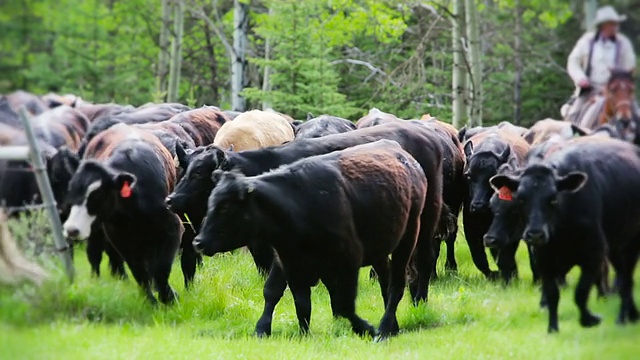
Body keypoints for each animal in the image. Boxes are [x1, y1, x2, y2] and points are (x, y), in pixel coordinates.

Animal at [62, 124, 181, 304]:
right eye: (71, 191)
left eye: (97, 194)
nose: (71, 229)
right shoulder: (121, 238)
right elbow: (139, 270)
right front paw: (151, 300)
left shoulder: (172, 228)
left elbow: (161, 268)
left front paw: (168, 297)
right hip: (97, 231)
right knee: (95, 253)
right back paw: (99, 279)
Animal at [168, 120, 442, 304]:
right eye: (183, 169)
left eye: (200, 173)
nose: (171, 199)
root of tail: (430, 137)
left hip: (427, 217)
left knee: (425, 257)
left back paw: (419, 299)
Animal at [192, 140, 428, 338]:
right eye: (211, 203)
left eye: (225, 207)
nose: (198, 242)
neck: (299, 204)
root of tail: (405, 157)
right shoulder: (290, 264)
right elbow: (297, 302)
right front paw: (297, 333)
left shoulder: (348, 261)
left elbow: (343, 305)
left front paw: (366, 328)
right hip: (380, 249)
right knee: (385, 281)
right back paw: (392, 327)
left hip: (408, 237)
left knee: (397, 284)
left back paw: (385, 327)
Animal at [490, 136, 640, 334]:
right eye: (521, 198)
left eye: (553, 198)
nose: (535, 234)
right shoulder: (543, 259)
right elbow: (553, 294)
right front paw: (552, 326)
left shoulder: (595, 253)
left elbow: (581, 291)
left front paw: (590, 318)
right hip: (616, 247)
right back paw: (631, 314)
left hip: (630, 244)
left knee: (626, 279)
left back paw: (622, 317)